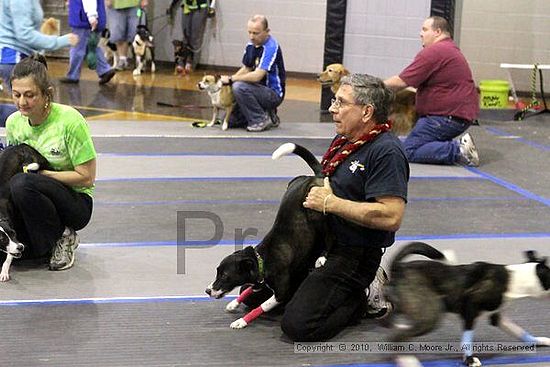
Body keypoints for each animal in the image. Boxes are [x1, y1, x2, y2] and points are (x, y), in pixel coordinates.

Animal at [0, 144, 50, 282]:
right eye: (2, 239)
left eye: (14, 233)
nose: (20, 247)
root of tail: (21, 146)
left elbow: (8, 257)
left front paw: (4, 272)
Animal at [205, 142, 334, 330]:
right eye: (217, 272)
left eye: (225, 275)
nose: (207, 290)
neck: (263, 259)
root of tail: (315, 176)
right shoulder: (258, 282)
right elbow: (249, 290)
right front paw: (234, 303)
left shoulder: (282, 292)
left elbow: (263, 306)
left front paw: (241, 321)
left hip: (317, 212)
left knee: (328, 236)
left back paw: (322, 257)